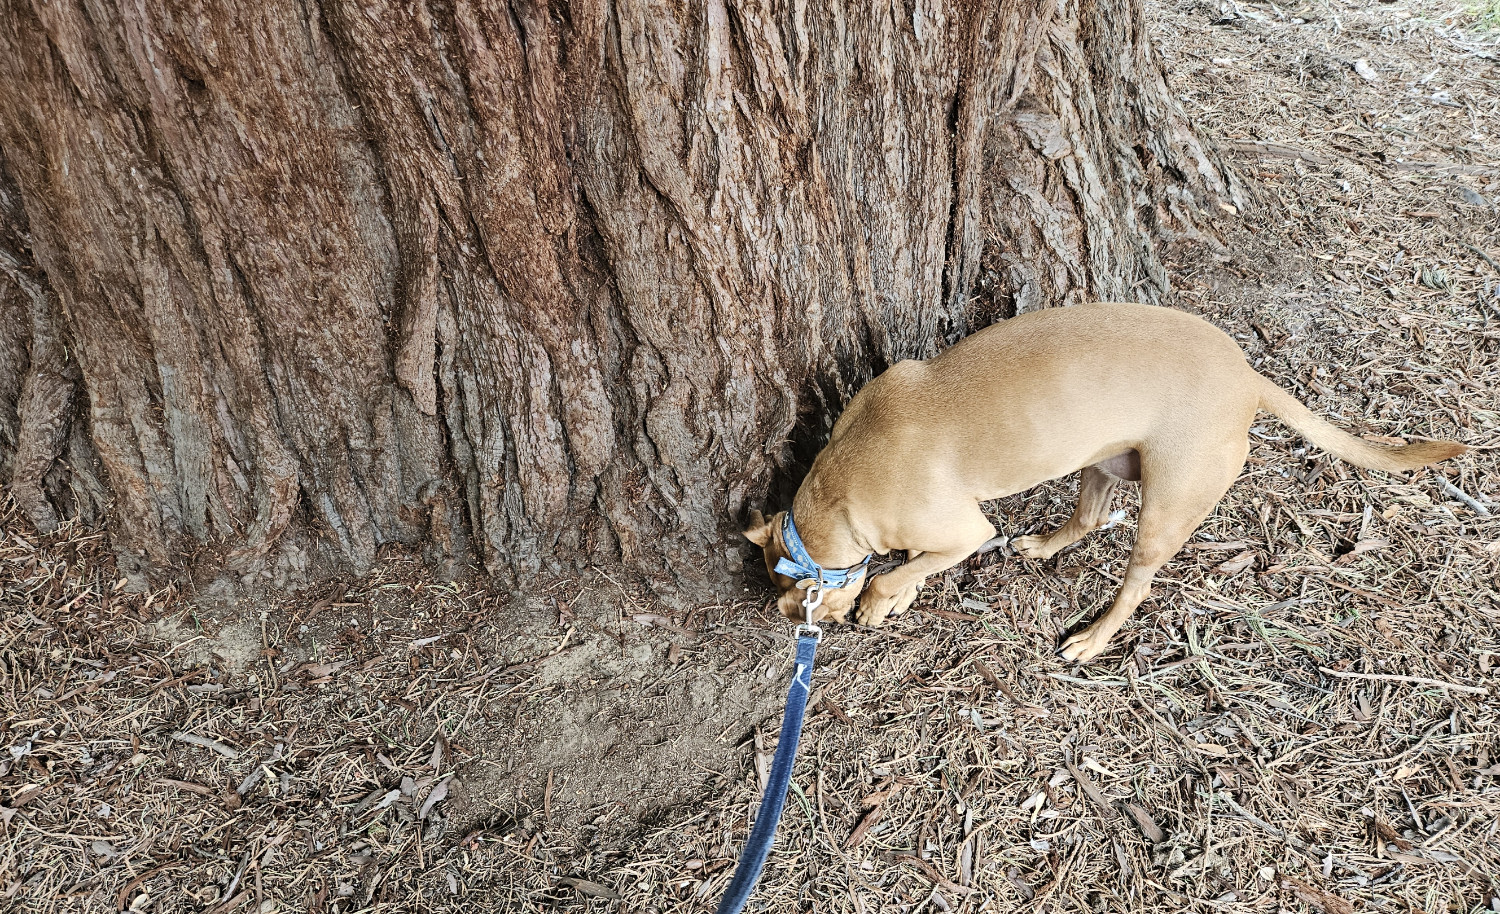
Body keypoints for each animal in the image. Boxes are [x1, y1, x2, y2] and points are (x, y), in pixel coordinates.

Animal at [744, 303, 1470, 660]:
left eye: (799, 591)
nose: (783, 617)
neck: (839, 489)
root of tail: (1249, 379)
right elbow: (911, 564)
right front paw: (894, 595)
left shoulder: (964, 529)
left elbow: (902, 567)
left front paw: (883, 597)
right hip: (1100, 460)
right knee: (1089, 517)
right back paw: (1044, 545)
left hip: (1166, 507)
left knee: (1135, 587)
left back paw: (1093, 639)